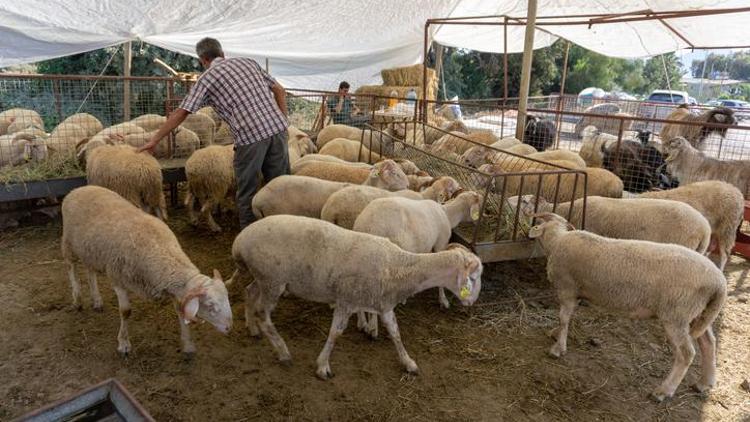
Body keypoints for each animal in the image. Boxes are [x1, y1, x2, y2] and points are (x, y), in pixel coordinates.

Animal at [61, 185, 232, 356]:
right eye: (210, 305)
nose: (230, 328)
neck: (160, 250)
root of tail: (79, 189)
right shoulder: (117, 277)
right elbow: (125, 311)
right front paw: (124, 343)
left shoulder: (173, 288)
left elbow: (180, 311)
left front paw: (188, 345)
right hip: (68, 242)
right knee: (70, 266)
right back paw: (77, 299)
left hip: (89, 249)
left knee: (90, 271)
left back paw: (97, 300)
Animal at [232, 216, 484, 378]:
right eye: (474, 276)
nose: (472, 303)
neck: (397, 266)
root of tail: (239, 241)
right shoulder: (346, 300)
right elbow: (335, 333)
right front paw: (323, 366)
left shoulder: (383, 304)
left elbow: (396, 333)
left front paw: (408, 363)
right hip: (272, 280)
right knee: (263, 313)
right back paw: (282, 351)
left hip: (263, 278)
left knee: (249, 291)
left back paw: (252, 328)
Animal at [528, 211, 728, 402]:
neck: (557, 241)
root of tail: (719, 283)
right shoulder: (575, 292)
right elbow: (567, 317)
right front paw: (556, 334)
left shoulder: (567, 288)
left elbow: (563, 318)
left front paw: (558, 348)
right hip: (698, 313)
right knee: (709, 343)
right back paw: (704, 383)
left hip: (677, 314)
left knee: (686, 354)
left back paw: (663, 391)